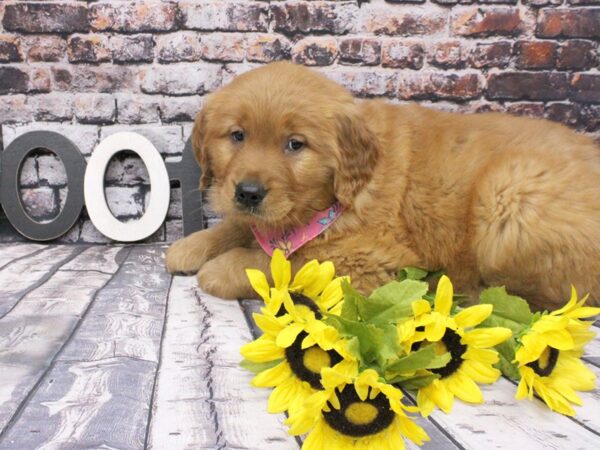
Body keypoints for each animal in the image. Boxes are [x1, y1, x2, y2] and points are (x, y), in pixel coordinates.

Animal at [166, 62, 600, 310]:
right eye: (237, 136)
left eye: (295, 145)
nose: (249, 192)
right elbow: (239, 226)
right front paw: (191, 246)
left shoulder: (372, 259)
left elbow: (292, 263)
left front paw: (224, 268)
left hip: (509, 195)